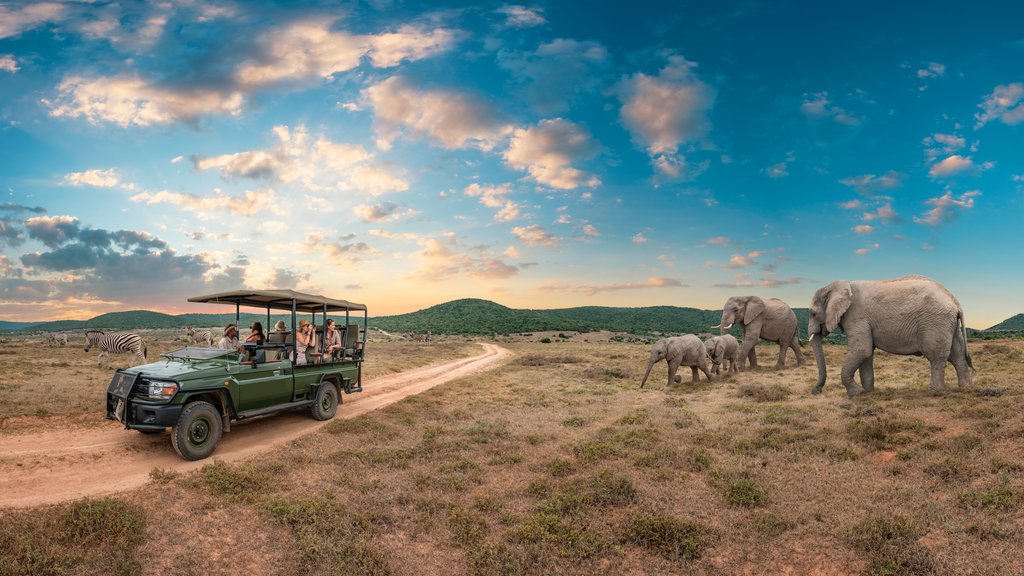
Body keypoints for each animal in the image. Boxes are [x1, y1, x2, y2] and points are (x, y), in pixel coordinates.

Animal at [806, 272, 974, 393]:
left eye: (813, 313)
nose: (816, 391)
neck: (836, 286)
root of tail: (954, 300)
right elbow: (867, 353)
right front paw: (868, 392)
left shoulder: (856, 317)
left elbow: (861, 350)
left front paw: (856, 393)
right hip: (949, 324)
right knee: (957, 355)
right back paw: (965, 388)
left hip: (936, 321)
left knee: (936, 356)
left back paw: (935, 392)